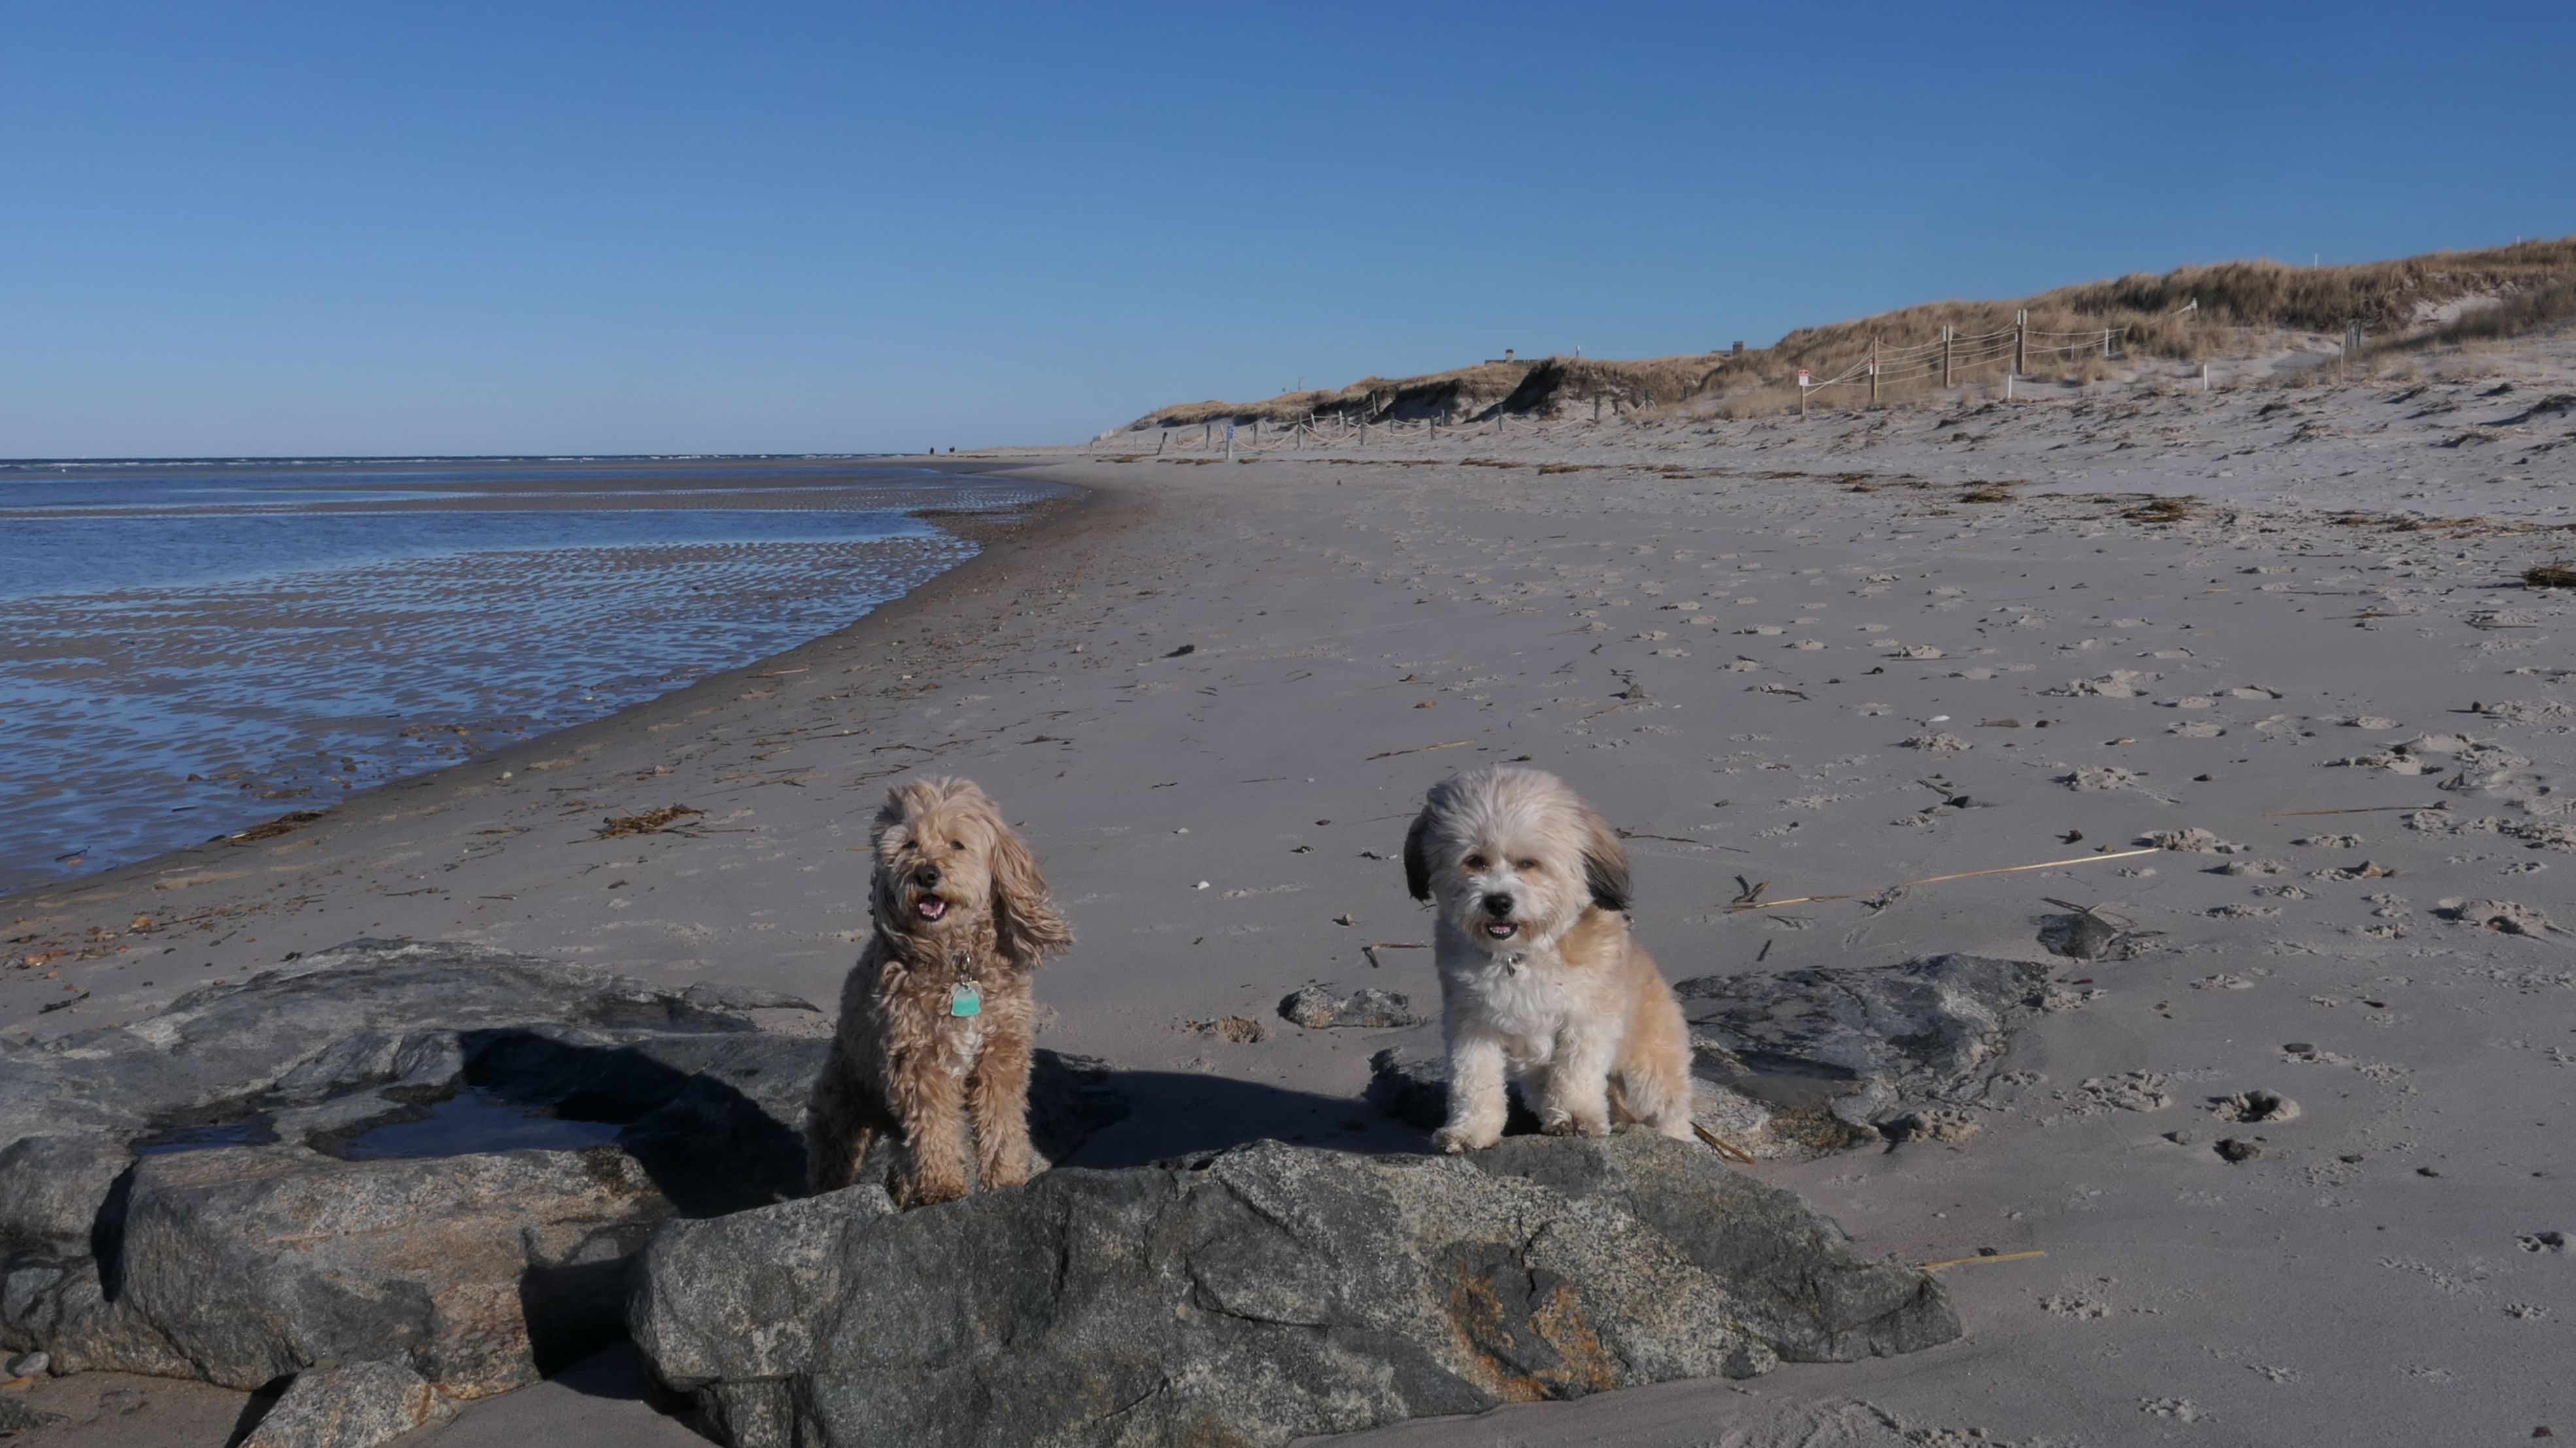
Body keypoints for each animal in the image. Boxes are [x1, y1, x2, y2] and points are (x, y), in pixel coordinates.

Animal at [805, 777, 1072, 1206]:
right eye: (909, 845)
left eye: (957, 844)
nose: (927, 874)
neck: (957, 963)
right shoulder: (919, 1062)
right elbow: (933, 1128)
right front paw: (944, 1186)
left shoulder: (1000, 1055)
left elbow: (1003, 1122)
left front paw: (1006, 1179)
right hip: (843, 1102)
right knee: (835, 1150)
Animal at [1403, 765, 1695, 1153]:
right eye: (1474, 861)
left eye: (1529, 863)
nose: (1498, 902)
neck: (1519, 956)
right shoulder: (1471, 1024)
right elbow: (1474, 1080)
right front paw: (1471, 1130)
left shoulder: (1586, 1020)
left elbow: (1576, 1073)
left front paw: (1575, 1118)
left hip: (1649, 1068)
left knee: (1669, 1110)